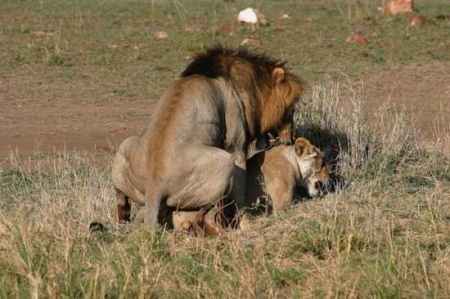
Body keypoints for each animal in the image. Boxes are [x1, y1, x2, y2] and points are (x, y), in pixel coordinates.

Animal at [111, 46, 306, 230]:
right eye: (290, 109)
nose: (291, 138)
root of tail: (154, 185)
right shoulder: (236, 147)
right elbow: (240, 197)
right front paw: (245, 223)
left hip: (125, 146)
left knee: (121, 198)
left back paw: (124, 222)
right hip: (224, 162)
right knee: (211, 211)